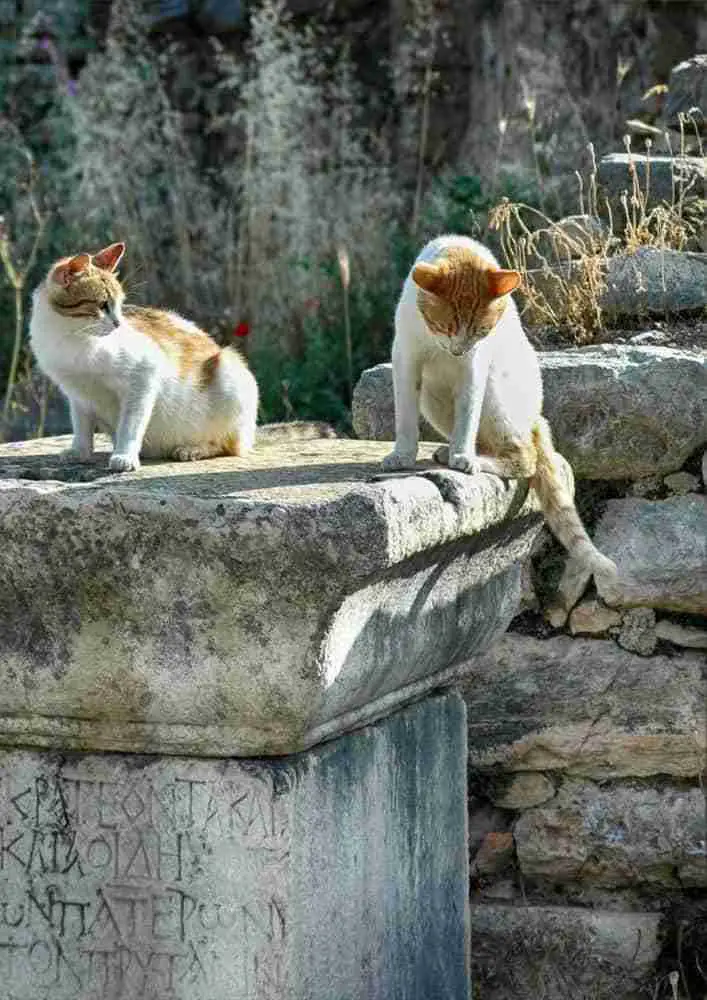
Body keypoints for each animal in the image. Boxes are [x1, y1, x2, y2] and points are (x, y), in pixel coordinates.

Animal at [30, 244, 258, 474]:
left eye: (120, 305)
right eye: (102, 305)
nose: (118, 324)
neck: (70, 337)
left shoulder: (143, 378)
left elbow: (130, 425)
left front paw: (124, 456)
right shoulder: (78, 396)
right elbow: (81, 426)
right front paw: (80, 452)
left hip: (230, 369)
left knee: (227, 444)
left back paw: (193, 449)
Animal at [384, 234, 616, 616]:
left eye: (481, 330)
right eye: (447, 326)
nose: (458, 350)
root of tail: (537, 420)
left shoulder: (475, 368)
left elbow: (468, 416)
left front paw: (463, 458)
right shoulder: (405, 358)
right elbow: (404, 416)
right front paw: (402, 454)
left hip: (496, 392)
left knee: (524, 460)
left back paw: (475, 460)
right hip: (432, 397)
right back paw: (449, 453)